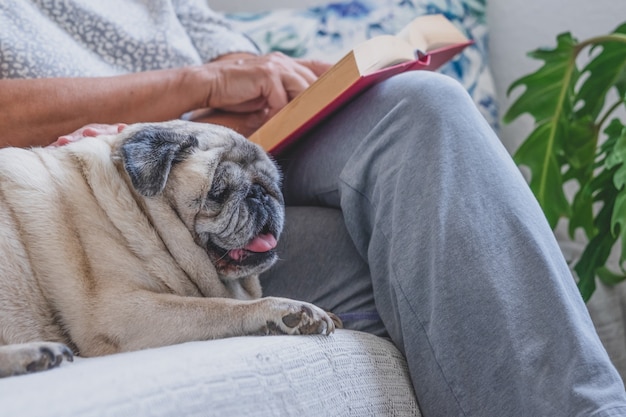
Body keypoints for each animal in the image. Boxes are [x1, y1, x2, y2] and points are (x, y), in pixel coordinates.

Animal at [0, 119, 336, 376]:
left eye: (273, 184)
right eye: (218, 192)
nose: (261, 195)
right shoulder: (118, 312)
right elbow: (215, 308)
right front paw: (282, 310)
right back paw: (34, 354)